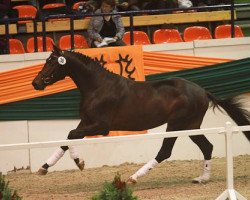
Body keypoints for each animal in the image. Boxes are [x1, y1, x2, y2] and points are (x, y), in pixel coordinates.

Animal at [32, 45, 249, 184]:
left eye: (51, 62)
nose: (36, 83)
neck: (98, 87)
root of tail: (203, 91)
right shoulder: (86, 121)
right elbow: (68, 138)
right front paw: (44, 167)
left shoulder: (101, 126)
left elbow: (71, 135)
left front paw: (79, 163)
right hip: (191, 126)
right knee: (207, 147)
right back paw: (202, 178)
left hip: (177, 124)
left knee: (165, 152)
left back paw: (134, 177)